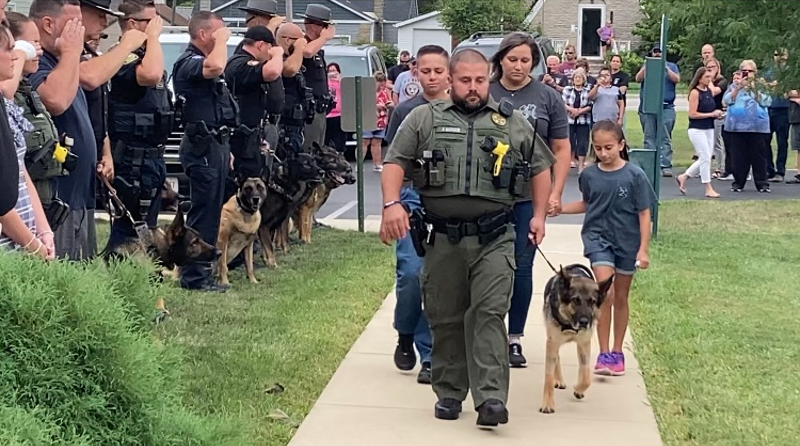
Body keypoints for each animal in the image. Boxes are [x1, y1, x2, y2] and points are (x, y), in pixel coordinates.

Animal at [540, 264, 616, 412]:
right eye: (576, 300)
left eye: (592, 302)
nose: (584, 322)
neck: (569, 323)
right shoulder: (552, 342)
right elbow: (548, 376)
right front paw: (547, 403)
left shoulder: (584, 343)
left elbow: (586, 375)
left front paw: (579, 389)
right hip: (552, 341)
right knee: (556, 357)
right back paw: (558, 380)